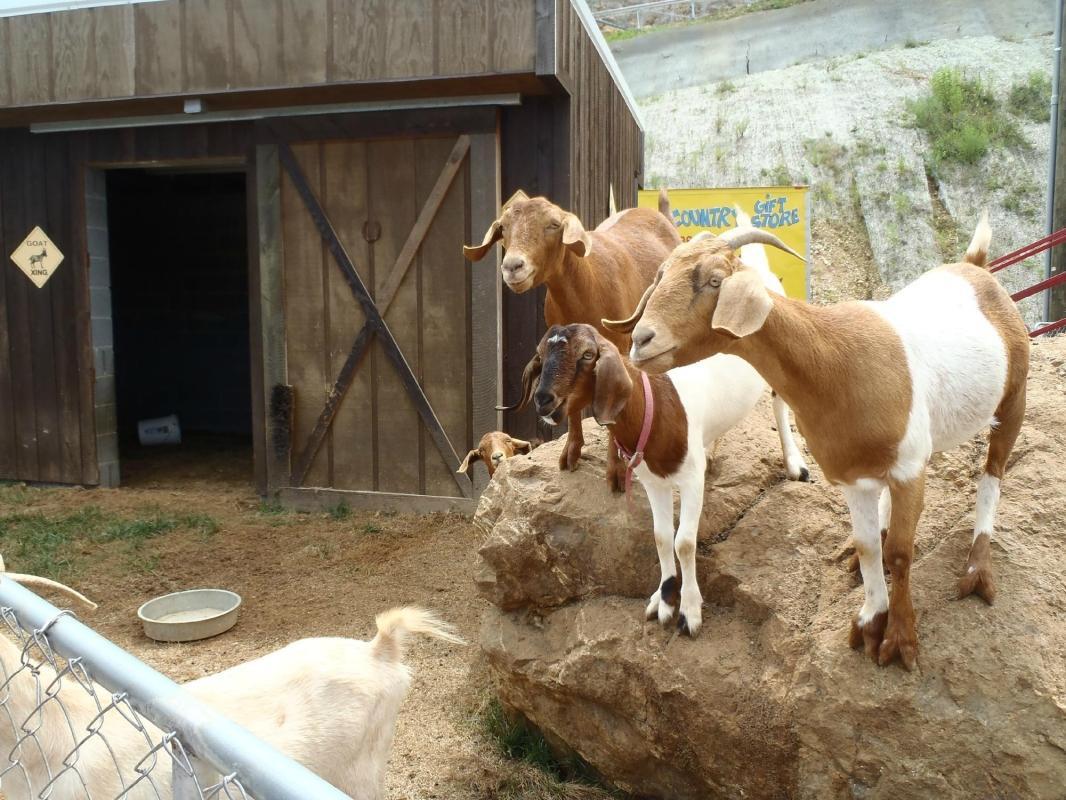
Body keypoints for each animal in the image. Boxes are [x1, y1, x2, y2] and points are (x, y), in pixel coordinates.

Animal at [609, 213, 1031, 669]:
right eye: (661, 275)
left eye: (715, 281)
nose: (642, 340)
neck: (836, 361)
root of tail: (976, 266)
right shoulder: (852, 477)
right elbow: (870, 548)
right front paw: (869, 622)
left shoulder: (908, 468)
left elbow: (901, 554)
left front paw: (900, 642)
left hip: (1014, 399)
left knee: (992, 475)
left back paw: (977, 572)